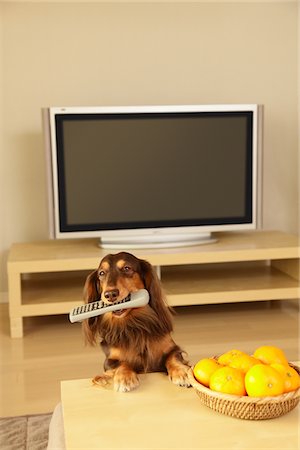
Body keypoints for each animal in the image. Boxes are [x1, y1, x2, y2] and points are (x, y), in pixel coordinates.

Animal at [82, 251, 190, 392]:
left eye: (127, 268)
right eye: (101, 273)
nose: (110, 294)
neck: (134, 325)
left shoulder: (173, 348)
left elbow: (172, 357)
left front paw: (182, 372)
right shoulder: (109, 360)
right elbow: (121, 363)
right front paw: (125, 378)